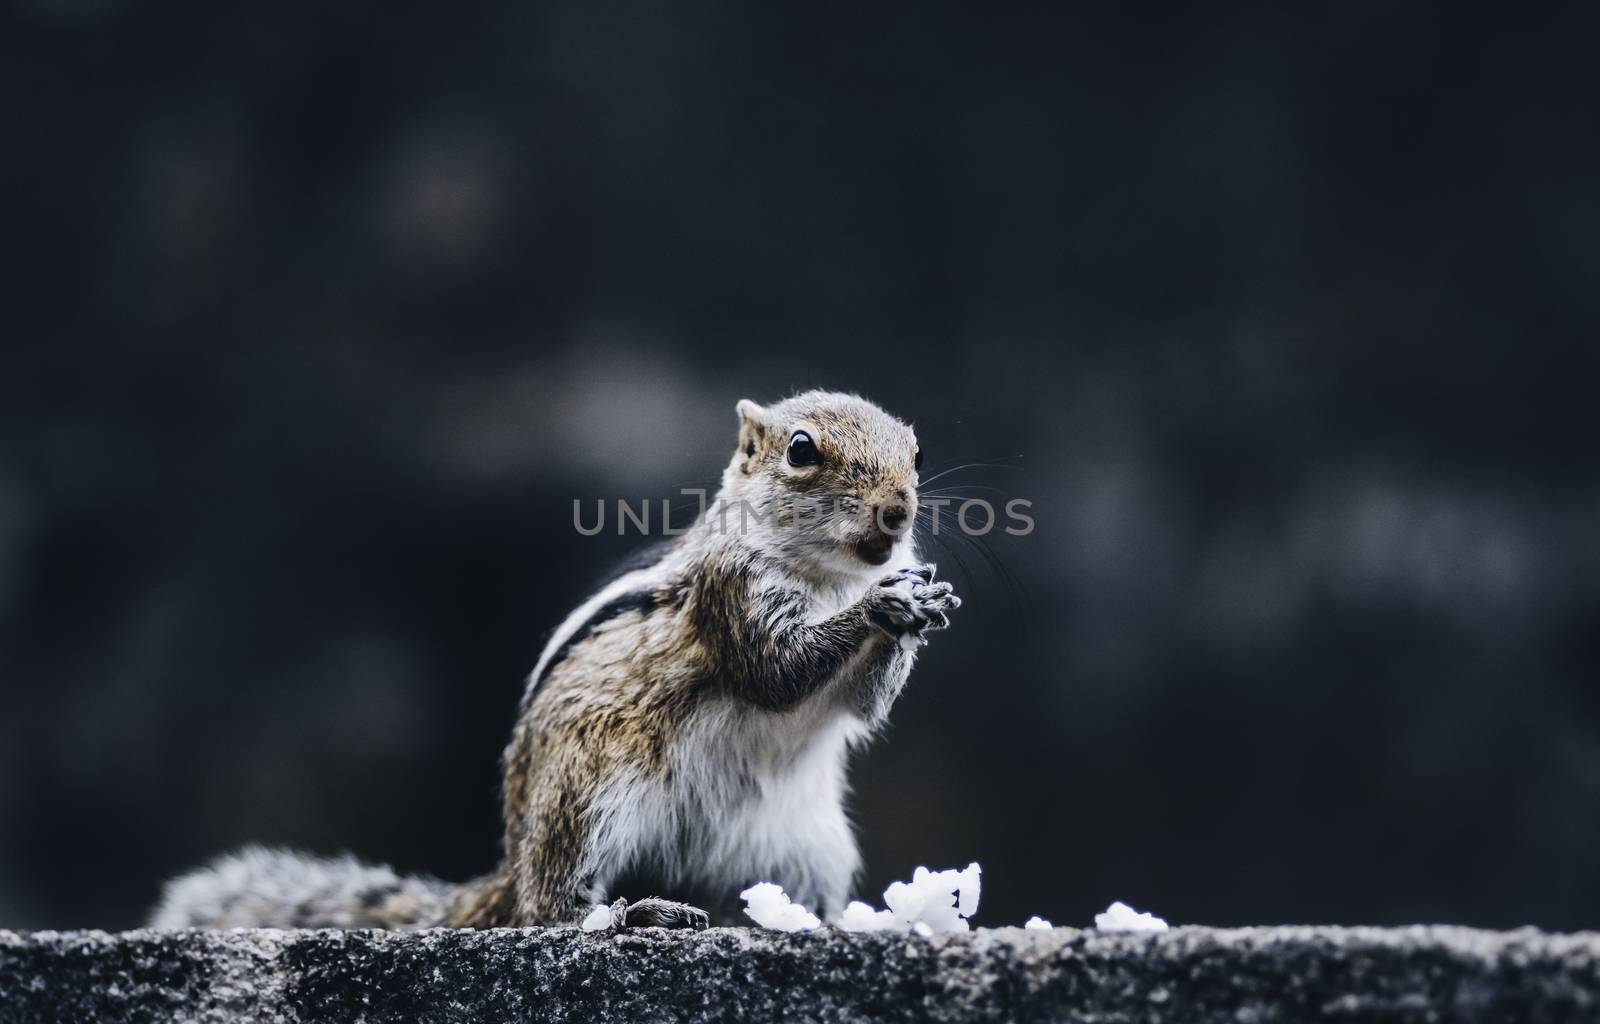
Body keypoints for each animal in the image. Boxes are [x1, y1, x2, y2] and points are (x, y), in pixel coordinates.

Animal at [152, 390, 960, 928]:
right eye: (801, 450)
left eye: (918, 452)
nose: (898, 508)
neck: (829, 574)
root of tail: (510, 864)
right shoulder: (732, 598)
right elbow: (778, 670)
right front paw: (881, 606)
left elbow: (861, 705)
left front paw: (920, 602)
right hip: (588, 792)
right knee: (548, 908)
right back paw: (634, 915)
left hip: (807, 849)